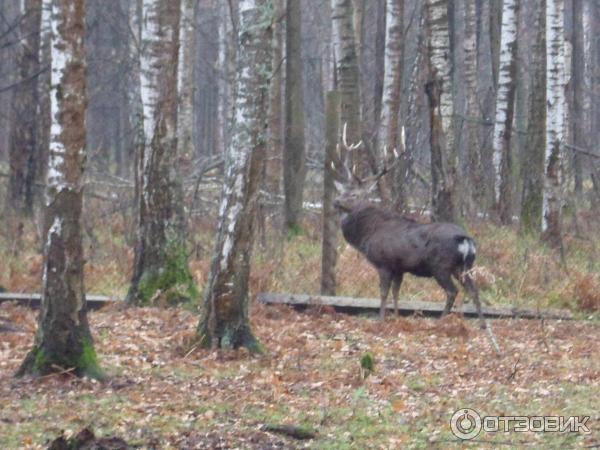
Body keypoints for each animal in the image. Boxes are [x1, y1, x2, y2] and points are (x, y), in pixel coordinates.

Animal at [330, 125, 486, 328]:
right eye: (342, 191)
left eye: (355, 194)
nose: (336, 201)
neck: (368, 233)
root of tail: (466, 240)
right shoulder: (399, 267)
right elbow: (396, 293)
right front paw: (396, 317)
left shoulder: (384, 263)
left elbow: (383, 293)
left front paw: (381, 320)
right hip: (465, 266)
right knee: (474, 289)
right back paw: (482, 324)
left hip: (441, 265)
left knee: (452, 291)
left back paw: (441, 321)